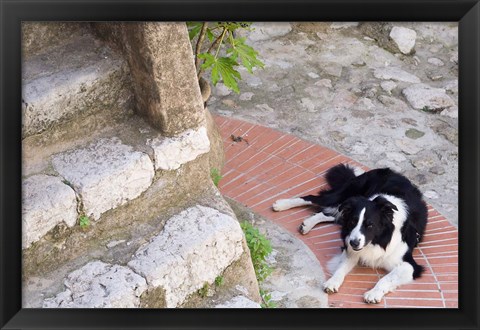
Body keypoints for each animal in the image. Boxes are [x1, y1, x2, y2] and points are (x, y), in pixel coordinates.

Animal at [274, 164, 428, 302]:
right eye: (353, 222)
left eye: (370, 225)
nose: (353, 242)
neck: (378, 240)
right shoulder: (350, 247)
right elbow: (341, 267)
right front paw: (333, 282)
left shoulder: (409, 265)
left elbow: (386, 279)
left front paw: (373, 293)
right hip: (344, 196)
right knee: (313, 199)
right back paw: (281, 204)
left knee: (331, 214)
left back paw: (307, 224)